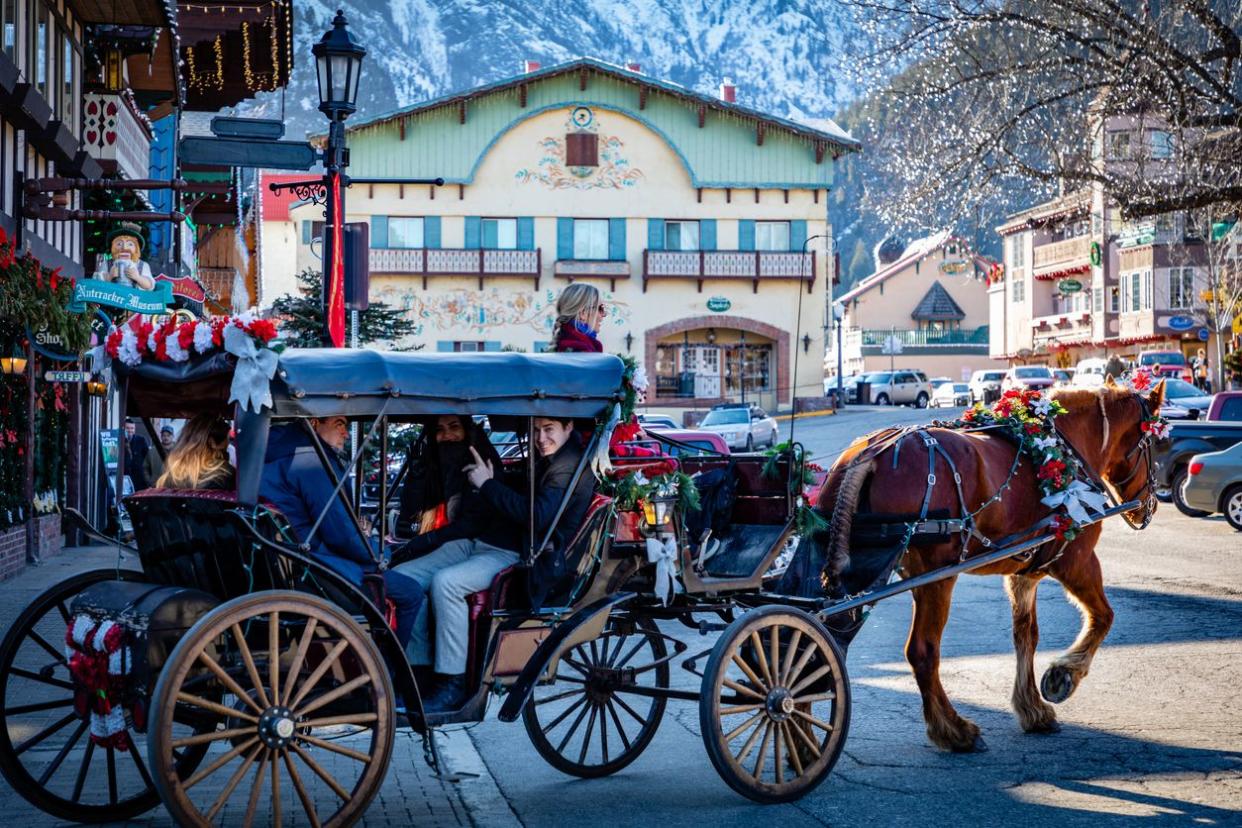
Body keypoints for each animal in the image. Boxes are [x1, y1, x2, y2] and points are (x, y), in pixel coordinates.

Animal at [814, 379, 1162, 754]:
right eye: (1155, 442)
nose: (1149, 506)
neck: (1066, 448)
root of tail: (870, 454)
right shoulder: (1076, 560)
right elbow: (1103, 616)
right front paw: (1063, 676)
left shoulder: (1024, 574)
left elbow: (1027, 636)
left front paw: (1032, 708)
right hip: (936, 577)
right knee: (922, 650)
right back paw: (953, 730)